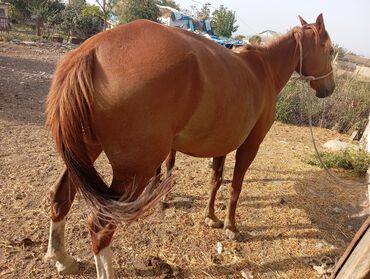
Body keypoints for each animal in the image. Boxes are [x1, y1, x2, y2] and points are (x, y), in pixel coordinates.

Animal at [44, 14, 336, 279]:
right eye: (331, 50)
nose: (330, 88)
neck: (262, 70)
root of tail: (92, 50)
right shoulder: (250, 144)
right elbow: (235, 187)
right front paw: (231, 226)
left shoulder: (223, 143)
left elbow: (215, 181)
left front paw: (211, 217)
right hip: (134, 171)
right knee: (101, 225)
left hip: (84, 152)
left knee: (60, 196)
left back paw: (62, 259)